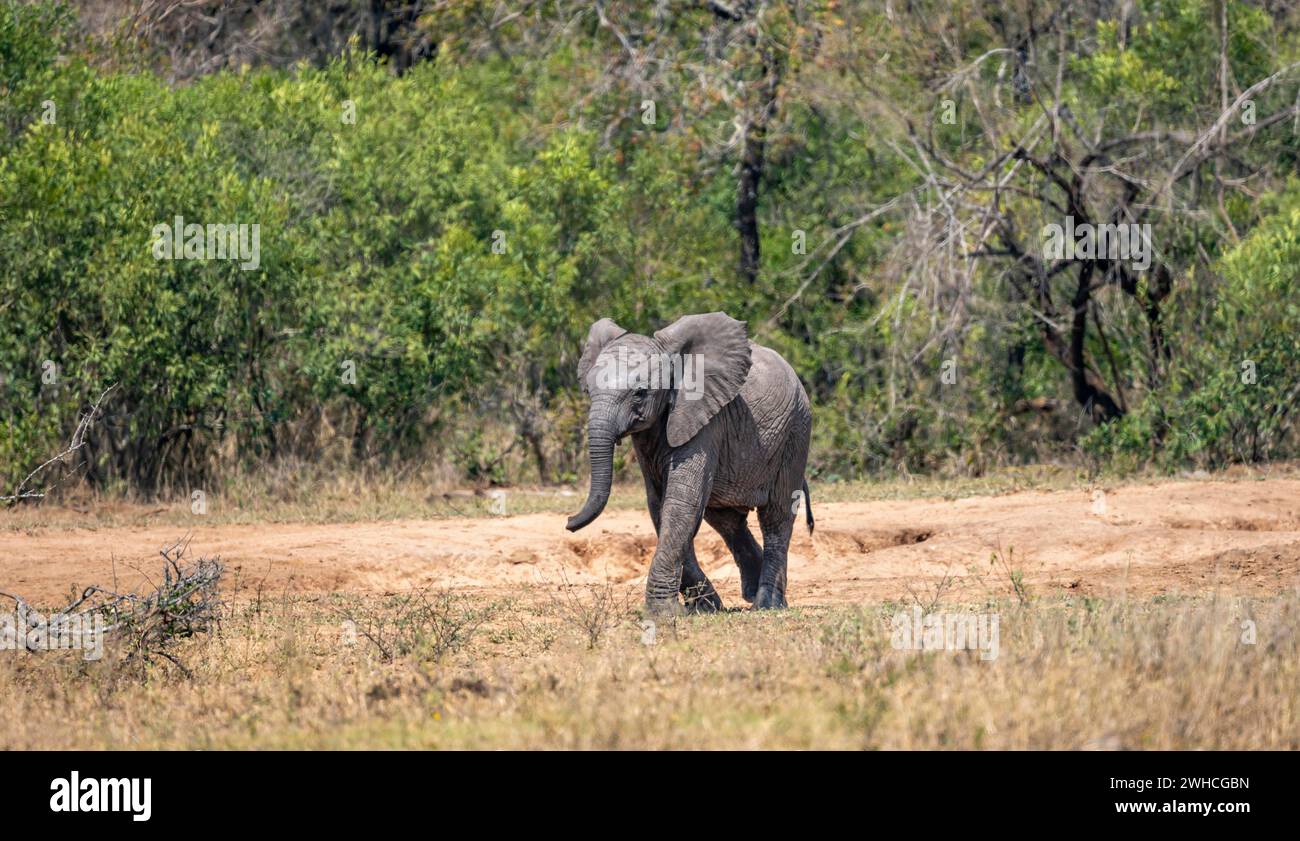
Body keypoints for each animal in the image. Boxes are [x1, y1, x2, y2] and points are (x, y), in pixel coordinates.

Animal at [565, 311, 813, 614]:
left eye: (640, 393)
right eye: (589, 390)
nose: (569, 522)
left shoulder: (705, 419)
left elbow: (682, 502)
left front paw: (663, 613)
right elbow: (660, 504)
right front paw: (705, 608)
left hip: (796, 431)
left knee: (776, 515)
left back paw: (767, 604)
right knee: (727, 521)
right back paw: (755, 596)